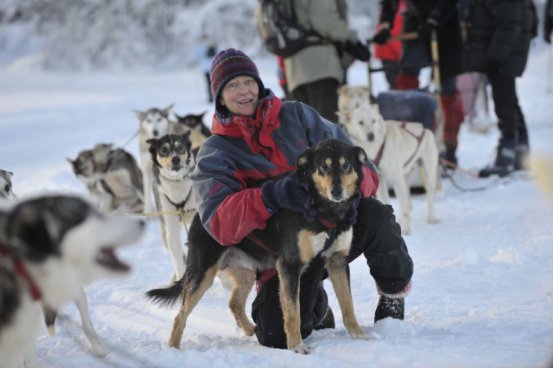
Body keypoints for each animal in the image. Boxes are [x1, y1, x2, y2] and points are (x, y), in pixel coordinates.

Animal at [342, 105, 438, 234]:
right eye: (360, 122)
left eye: (373, 121)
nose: (371, 136)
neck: (377, 147)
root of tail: (425, 129)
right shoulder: (381, 181)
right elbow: (386, 201)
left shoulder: (397, 179)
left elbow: (403, 206)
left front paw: (405, 228)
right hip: (406, 177)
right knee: (408, 201)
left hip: (428, 174)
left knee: (428, 197)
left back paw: (431, 217)